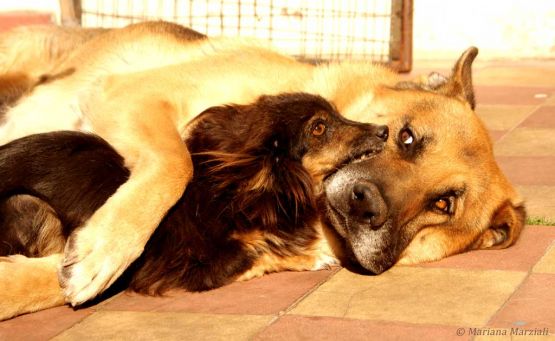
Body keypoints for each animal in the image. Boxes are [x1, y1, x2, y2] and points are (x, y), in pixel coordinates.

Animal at [0, 91, 386, 298]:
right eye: (319, 127)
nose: (383, 130)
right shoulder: (190, 263)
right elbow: (255, 256)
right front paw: (312, 256)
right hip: (30, 206)